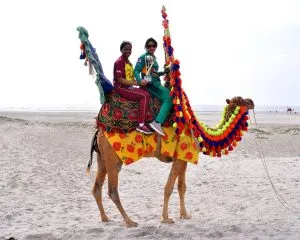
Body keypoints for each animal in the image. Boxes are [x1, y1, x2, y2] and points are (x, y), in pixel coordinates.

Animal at [77, 6, 253, 227]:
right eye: (241, 100)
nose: (253, 102)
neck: (197, 130)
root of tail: (99, 130)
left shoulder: (183, 157)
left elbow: (181, 187)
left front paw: (185, 215)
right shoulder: (180, 155)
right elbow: (168, 187)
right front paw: (167, 218)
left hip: (102, 157)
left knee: (97, 187)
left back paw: (105, 218)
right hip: (113, 157)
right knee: (112, 190)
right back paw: (130, 221)